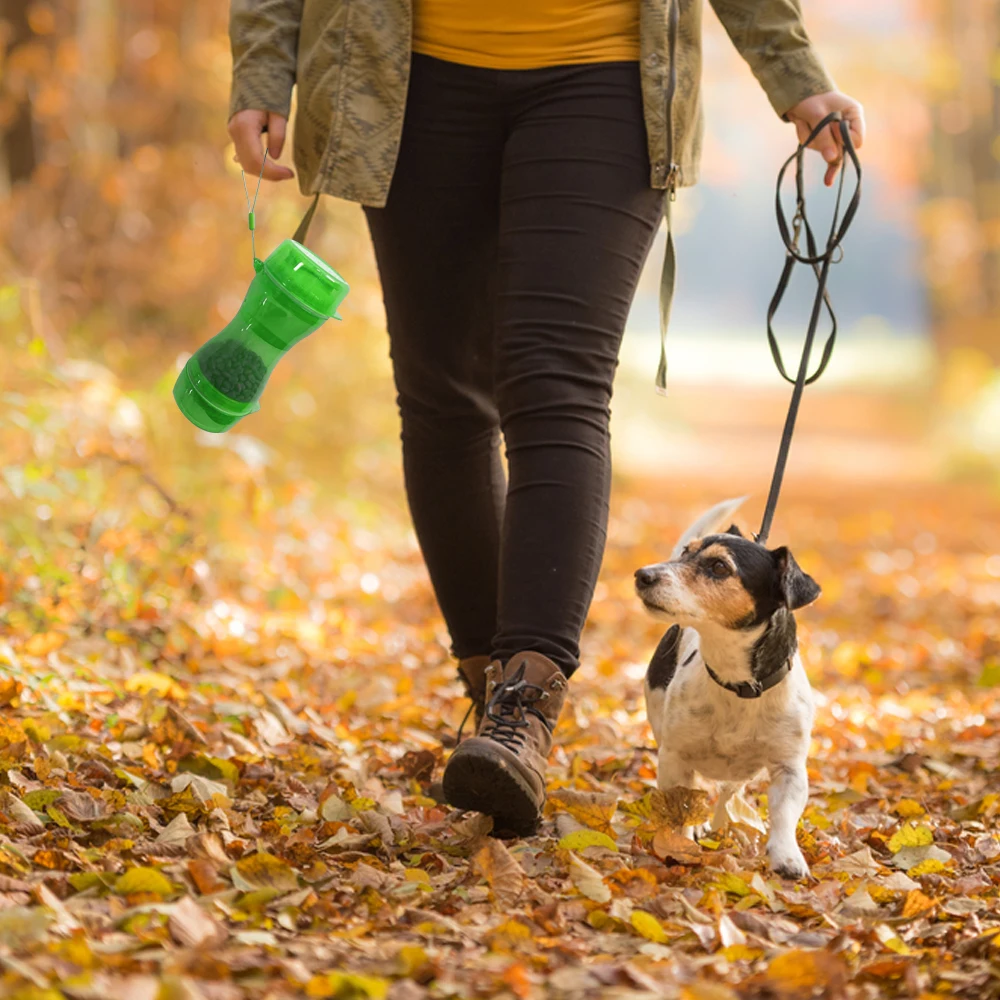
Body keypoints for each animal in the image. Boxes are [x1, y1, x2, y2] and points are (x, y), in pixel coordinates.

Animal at [632, 498, 820, 876]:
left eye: (719, 567)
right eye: (685, 553)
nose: (643, 574)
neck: (737, 685)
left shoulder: (789, 768)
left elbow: (783, 815)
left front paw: (787, 855)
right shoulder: (674, 758)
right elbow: (681, 808)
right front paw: (681, 845)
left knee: (730, 792)